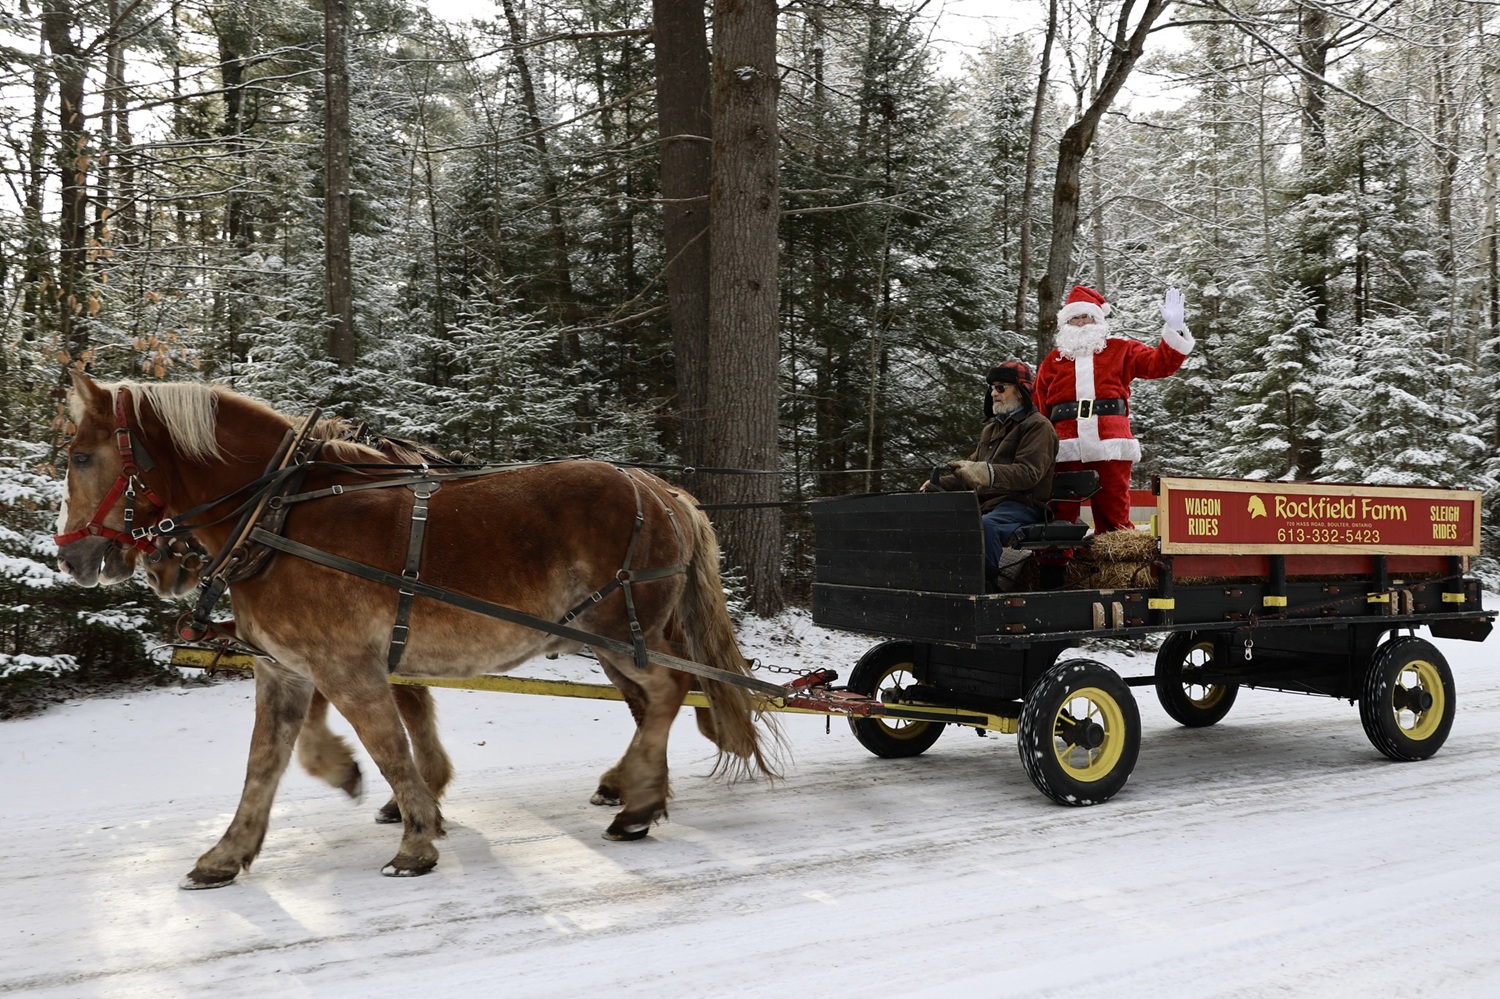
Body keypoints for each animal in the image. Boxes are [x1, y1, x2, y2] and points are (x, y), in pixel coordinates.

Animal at [55, 370, 780, 887]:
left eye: (82, 456)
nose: (71, 557)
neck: (280, 515)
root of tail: (665, 491)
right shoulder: (284, 667)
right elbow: (267, 760)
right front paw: (227, 853)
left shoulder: (348, 666)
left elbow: (389, 747)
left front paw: (414, 838)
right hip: (614, 638)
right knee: (655, 700)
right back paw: (636, 794)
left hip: (619, 631)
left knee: (667, 692)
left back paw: (634, 804)